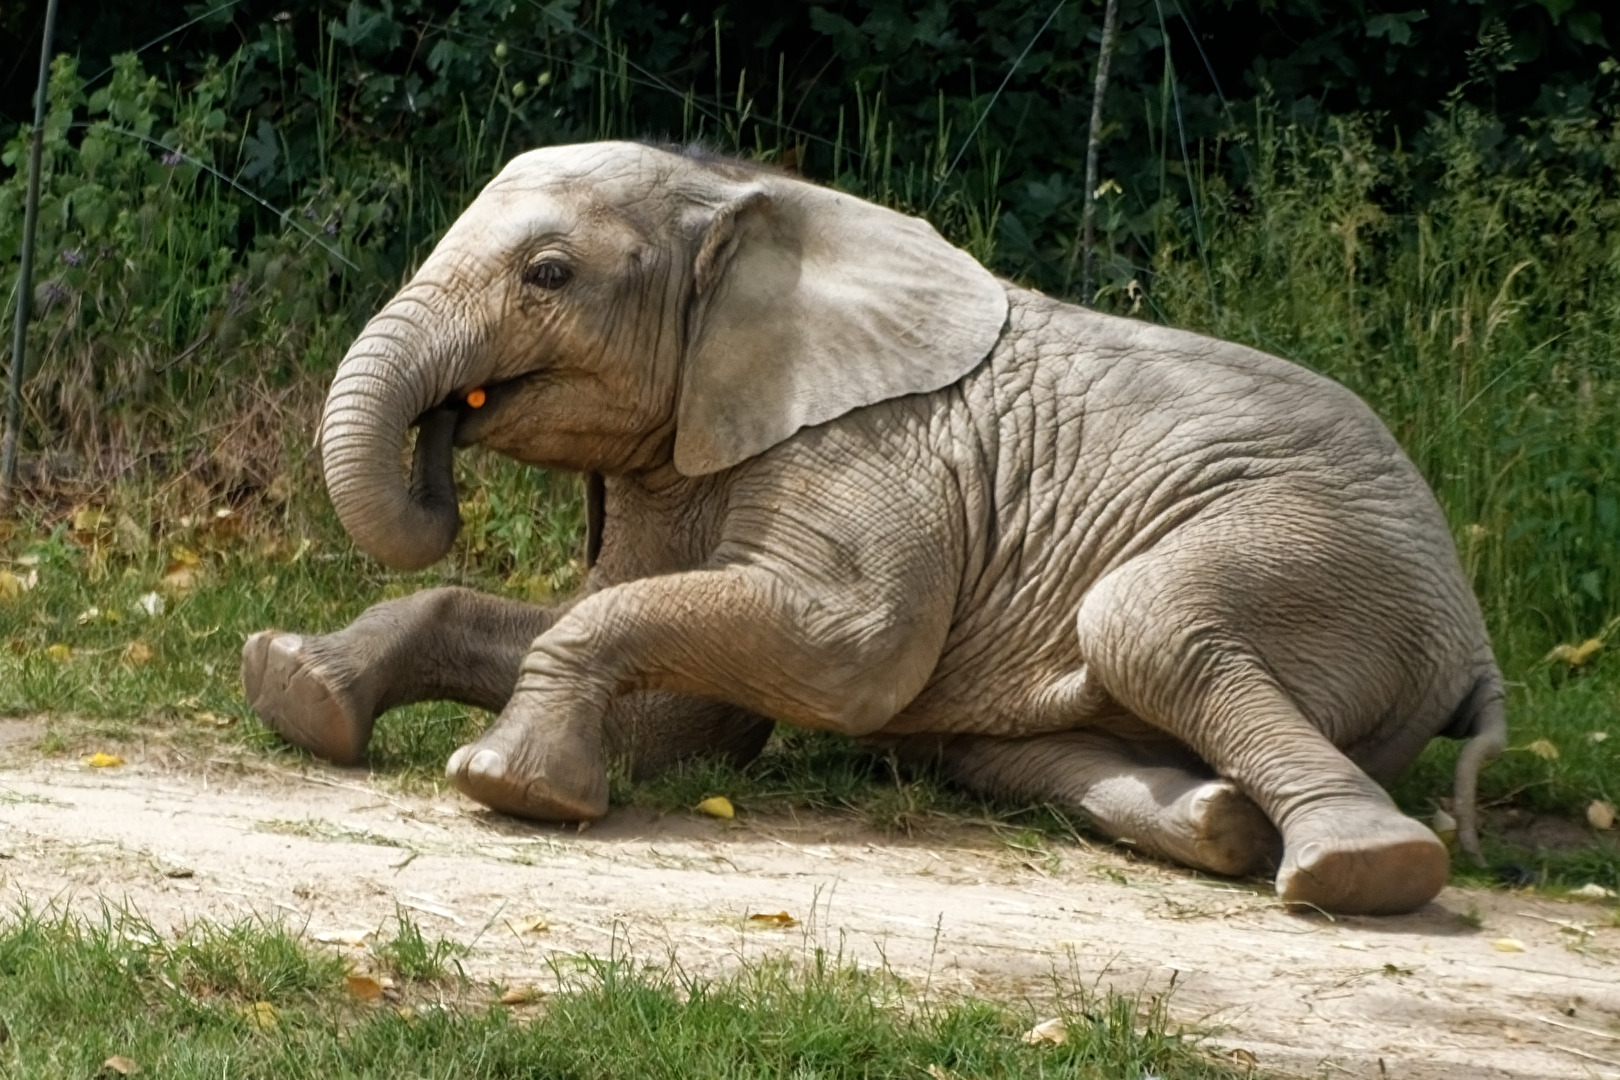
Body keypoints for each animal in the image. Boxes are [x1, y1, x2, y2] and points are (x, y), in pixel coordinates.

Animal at [242, 140, 1506, 916]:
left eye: (549, 275)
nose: (445, 442)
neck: (747, 199)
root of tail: (1475, 641)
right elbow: (669, 704)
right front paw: (294, 688)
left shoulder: (876, 449)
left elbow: (843, 655)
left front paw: (507, 786)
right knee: (1006, 749)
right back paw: (1222, 823)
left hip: (1328, 553)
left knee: (1145, 620)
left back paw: (1362, 871)